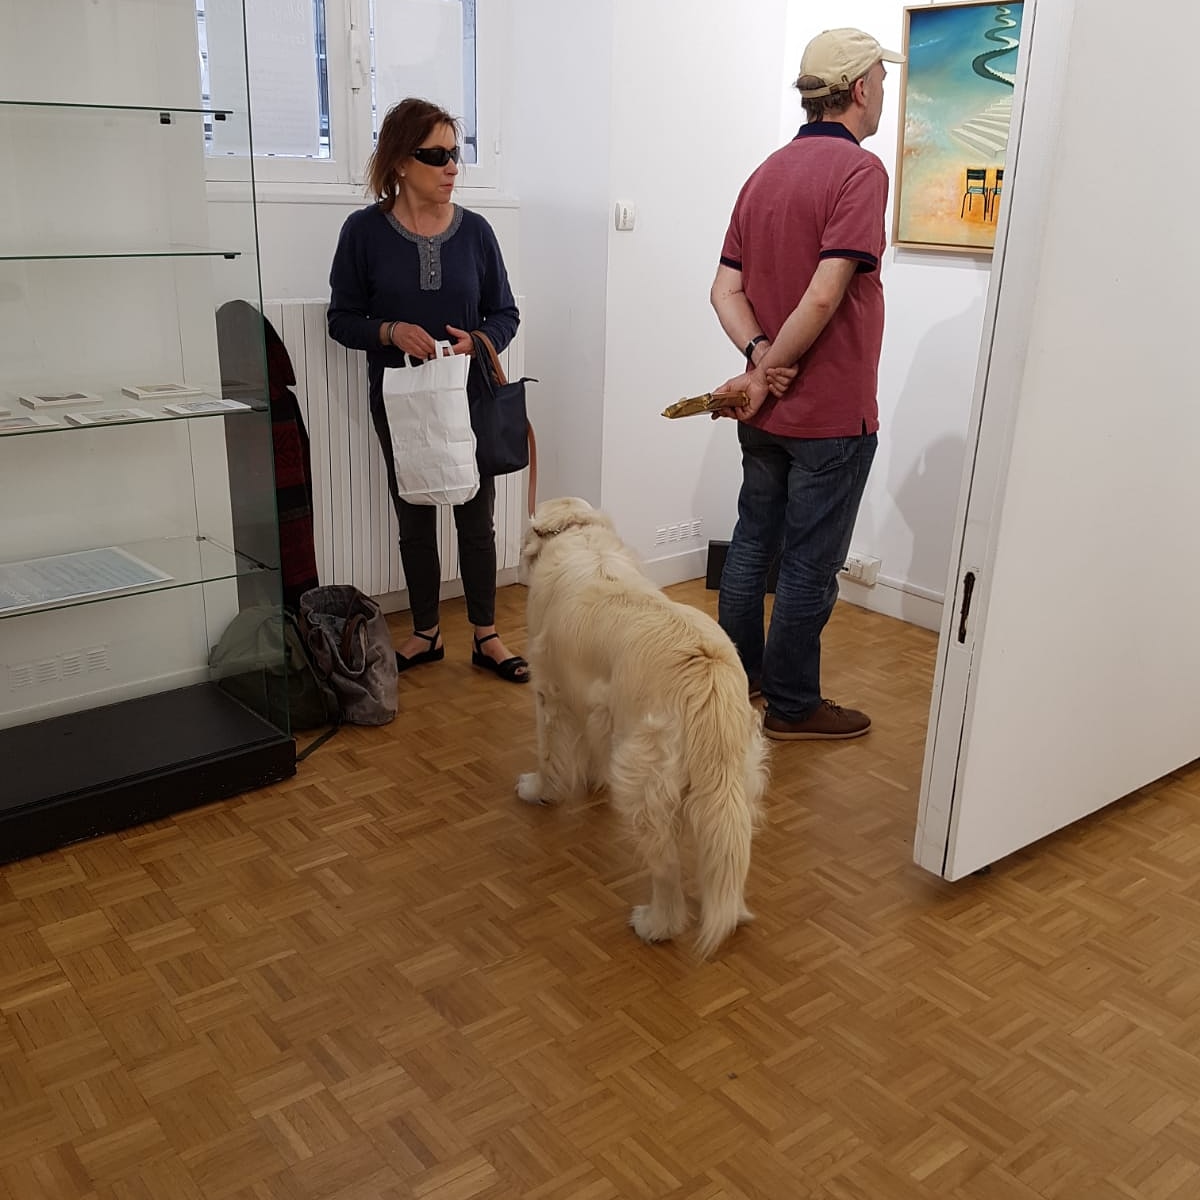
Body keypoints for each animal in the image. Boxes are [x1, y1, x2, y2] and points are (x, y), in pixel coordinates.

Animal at [516, 494, 768, 955]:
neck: (581, 537)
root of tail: (706, 674)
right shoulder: (601, 706)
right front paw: (593, 780)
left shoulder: (551, 693)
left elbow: (549, 753)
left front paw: (539, 790)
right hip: (735, 777)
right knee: (729, 848)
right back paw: (734, 910)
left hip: (648, 783)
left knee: (665, 867)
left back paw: (656, 924)